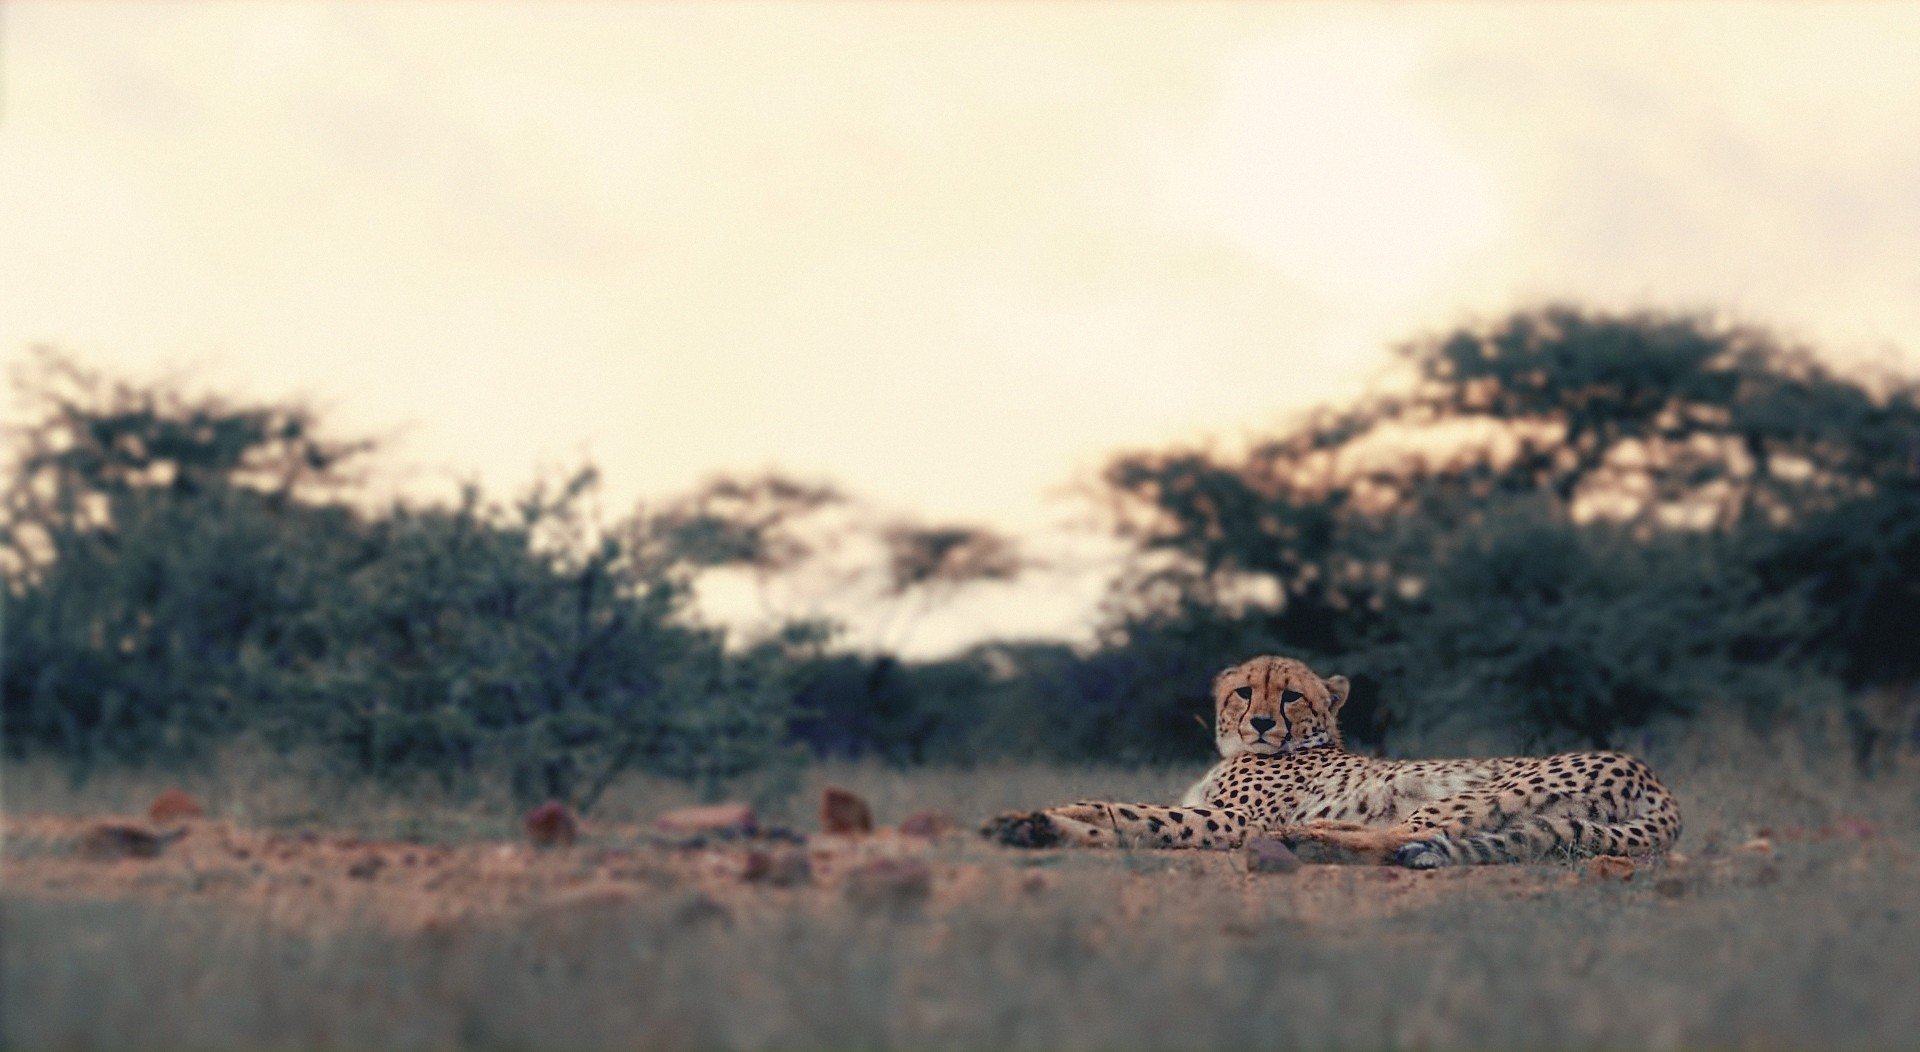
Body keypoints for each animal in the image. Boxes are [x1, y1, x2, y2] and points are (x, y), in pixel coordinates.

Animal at [982, 654, 1682, 868]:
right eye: (1245, 692)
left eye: (1290, 695)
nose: (1263, 723)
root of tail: (1654, 778)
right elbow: (1122, 812)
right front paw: (1033, 821)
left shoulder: (1231, 820)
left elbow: (1136, 814)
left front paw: (1043, 819)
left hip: (1475, 791)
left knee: (1403, 834)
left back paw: (1307, 842)